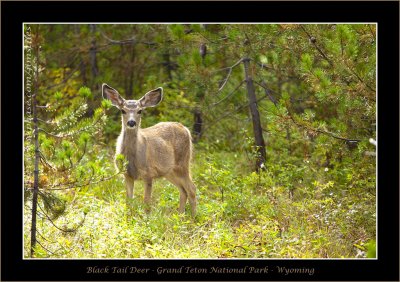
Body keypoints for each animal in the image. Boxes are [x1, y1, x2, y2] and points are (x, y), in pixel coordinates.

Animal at [102, 82, 198, 215]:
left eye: (140, 111)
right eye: (123, 110)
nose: (131, 122)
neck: (132, 159)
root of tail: (186, 129)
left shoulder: (148, 173)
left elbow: (146, 203)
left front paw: (146, 218)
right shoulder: (127, 175)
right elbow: (128, 202)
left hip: (182, 163)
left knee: (192, 188)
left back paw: (193, 217)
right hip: (169, 171)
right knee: (183, 190)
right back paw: (180, 215)